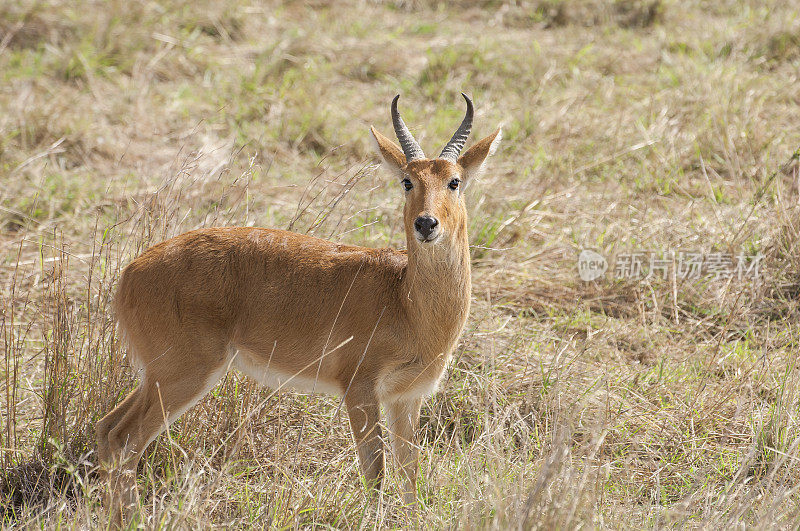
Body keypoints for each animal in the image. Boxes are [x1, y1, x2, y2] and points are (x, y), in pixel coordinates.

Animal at [95, 93, 500, 516]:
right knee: (125, 440)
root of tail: (130, 272)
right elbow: (375, 472)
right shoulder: (360, 389)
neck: (405, 301)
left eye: (454, 181)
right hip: (183, 374)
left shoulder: (407, 398)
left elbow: (409, 474)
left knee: (107, 429)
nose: (426, 224)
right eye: (408, 181)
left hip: (158, 376)